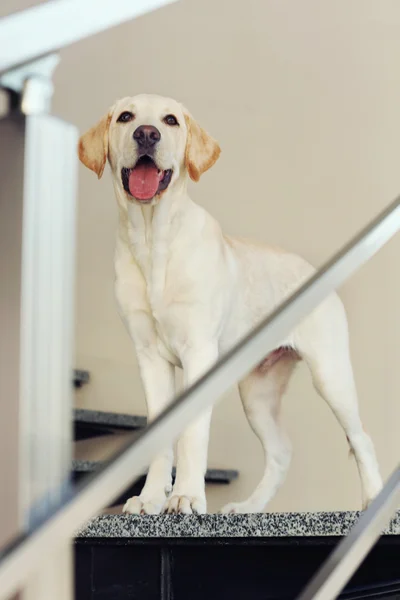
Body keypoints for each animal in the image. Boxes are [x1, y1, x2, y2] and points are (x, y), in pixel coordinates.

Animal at [78, 94, 382, 516]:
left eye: (170, 121)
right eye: (126, 117)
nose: (147, 134)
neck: (154, 239)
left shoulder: (198, 352)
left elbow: (191, 433)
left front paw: (186, 497)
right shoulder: (150, 359)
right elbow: (159, 440)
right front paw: (151, 498)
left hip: (330, 373)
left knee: (360, 437)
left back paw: (372, 497)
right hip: (257, 393)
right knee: (281, 452)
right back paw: (248, 507)